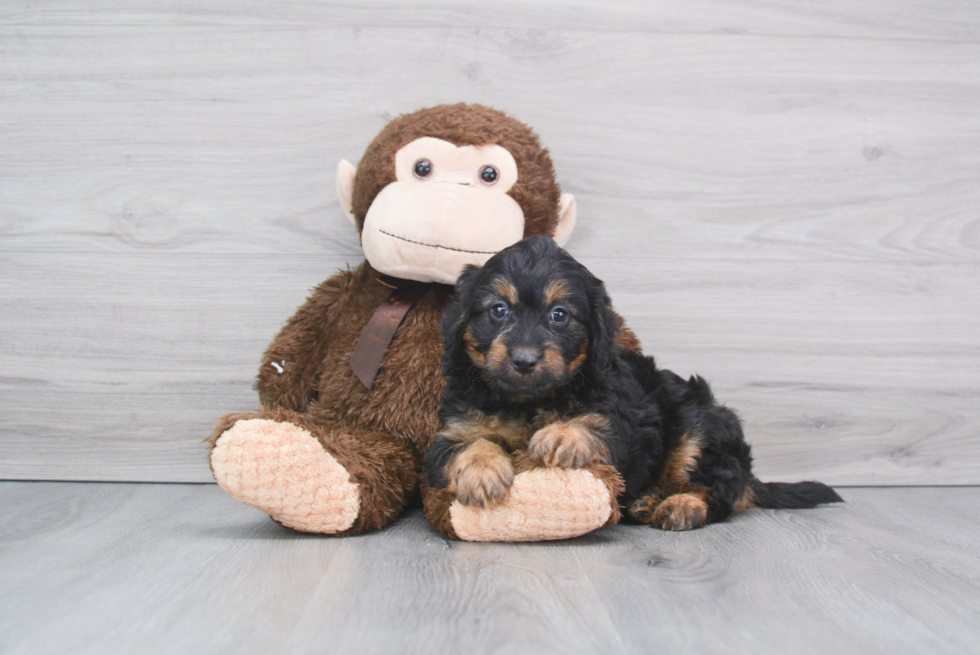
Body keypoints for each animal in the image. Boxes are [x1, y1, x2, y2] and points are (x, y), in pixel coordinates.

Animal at [424, 236, 848, 532]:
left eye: (560, 315)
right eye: (498, 310)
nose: (525, 360)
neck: (527, 401)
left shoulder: (620, 425)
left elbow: (594, 428)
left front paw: (562, 434)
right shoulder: (452, 432)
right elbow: (470, 444)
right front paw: (482, 473)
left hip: (700, 425)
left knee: (719, 491)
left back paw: (681, 506)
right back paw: (647, 502)